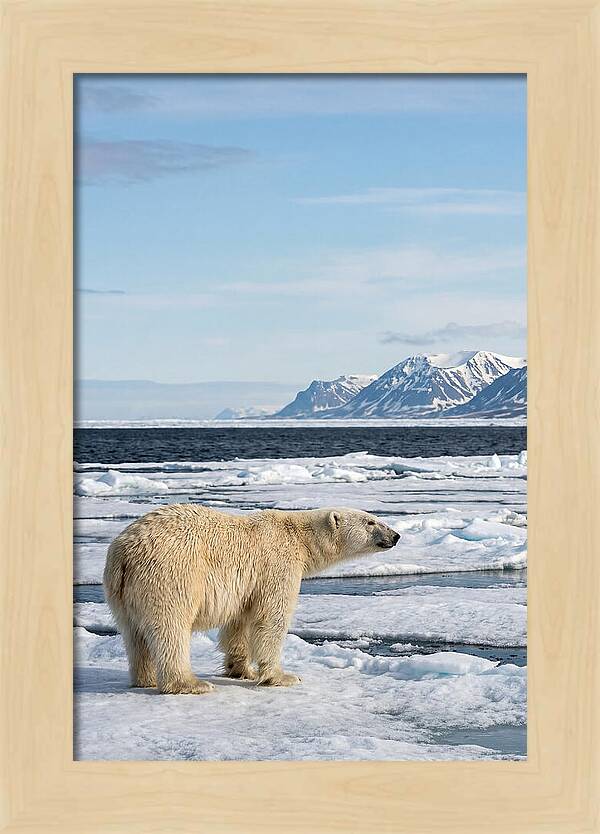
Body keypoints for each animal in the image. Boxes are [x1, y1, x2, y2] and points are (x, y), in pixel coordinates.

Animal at [103, 504, 400, 695]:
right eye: (371, 522)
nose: (396, 536)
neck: (299, 537)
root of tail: (124, 552)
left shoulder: (248, 585)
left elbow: (239, 623)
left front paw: (241, 670)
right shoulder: (277, 564)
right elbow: (271, 618)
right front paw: (283, 676)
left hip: (121, 592)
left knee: (133, 634)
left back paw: (145, 678)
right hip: (170, 575)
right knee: (170, 628)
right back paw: (190, 683)